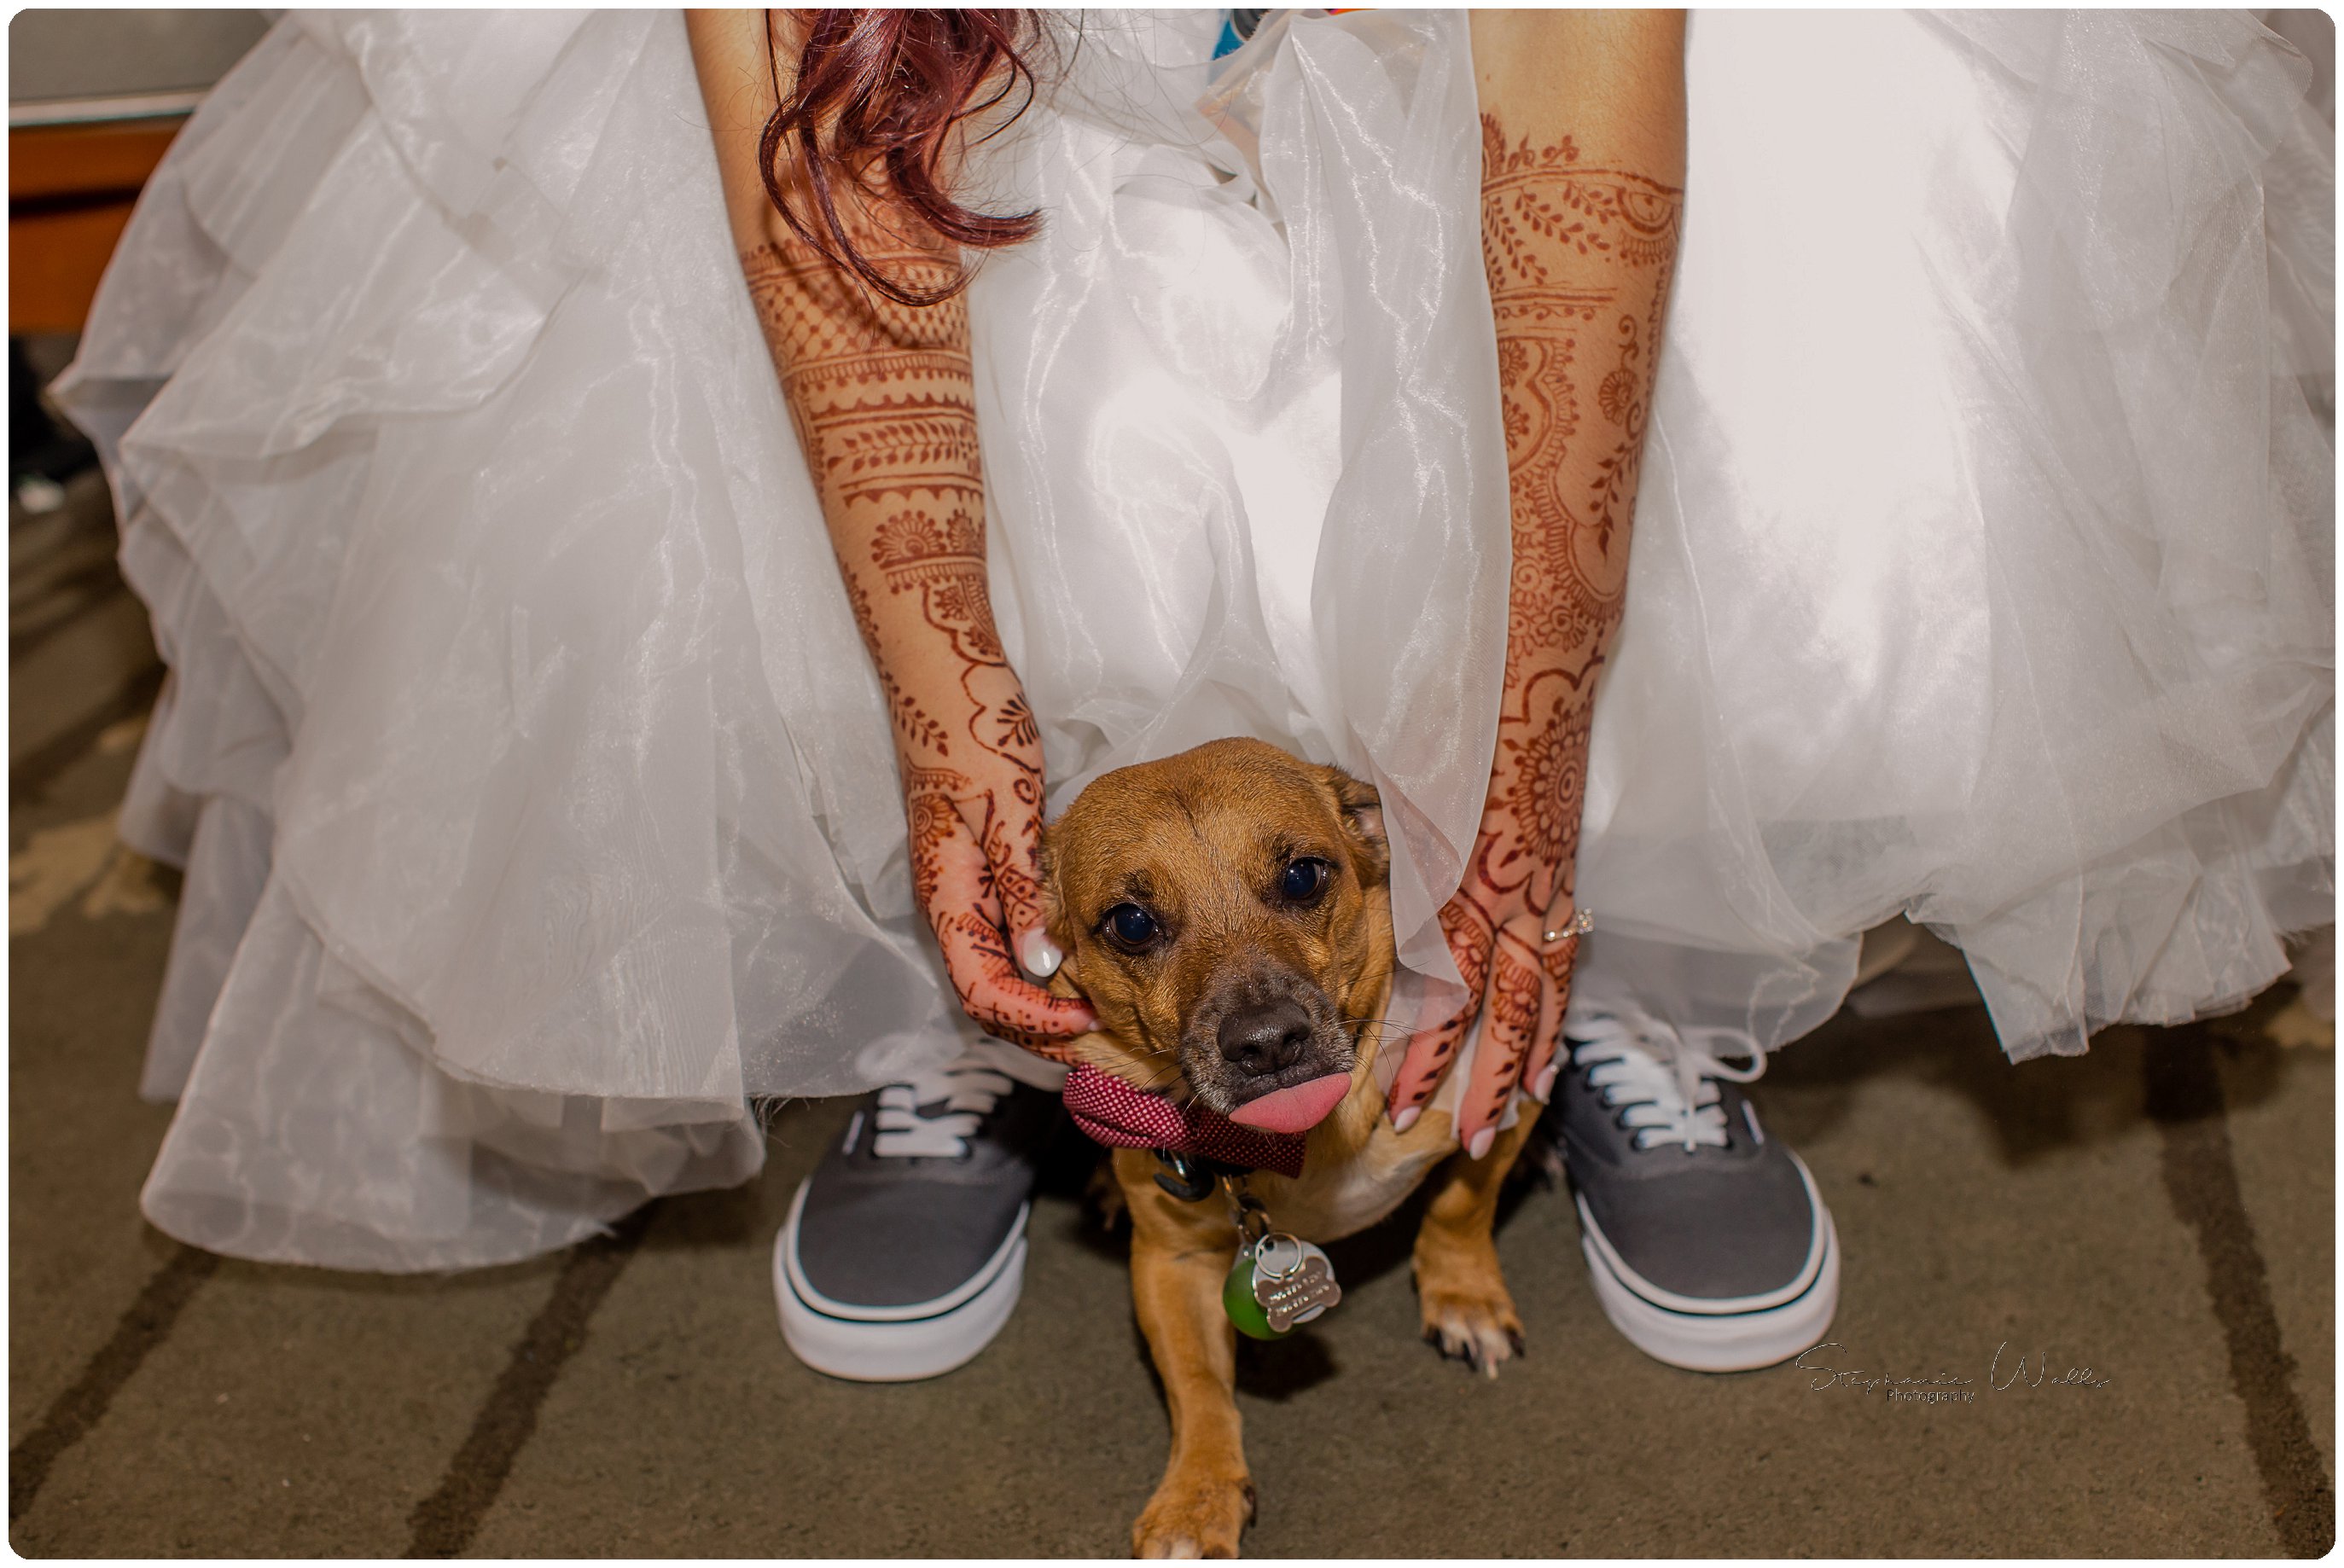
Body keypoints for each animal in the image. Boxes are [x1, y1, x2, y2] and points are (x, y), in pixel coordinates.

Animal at [1045, 735, 1538, 1556]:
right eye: (1131, 923)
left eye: (1302, 876)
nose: (1268, 1042)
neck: (1298, 1147)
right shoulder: (1172, 1265)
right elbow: (1198, 1389)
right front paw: (1197, 1496)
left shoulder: (1500, 1101)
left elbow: (1462, 1206)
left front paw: (1462, 1295)